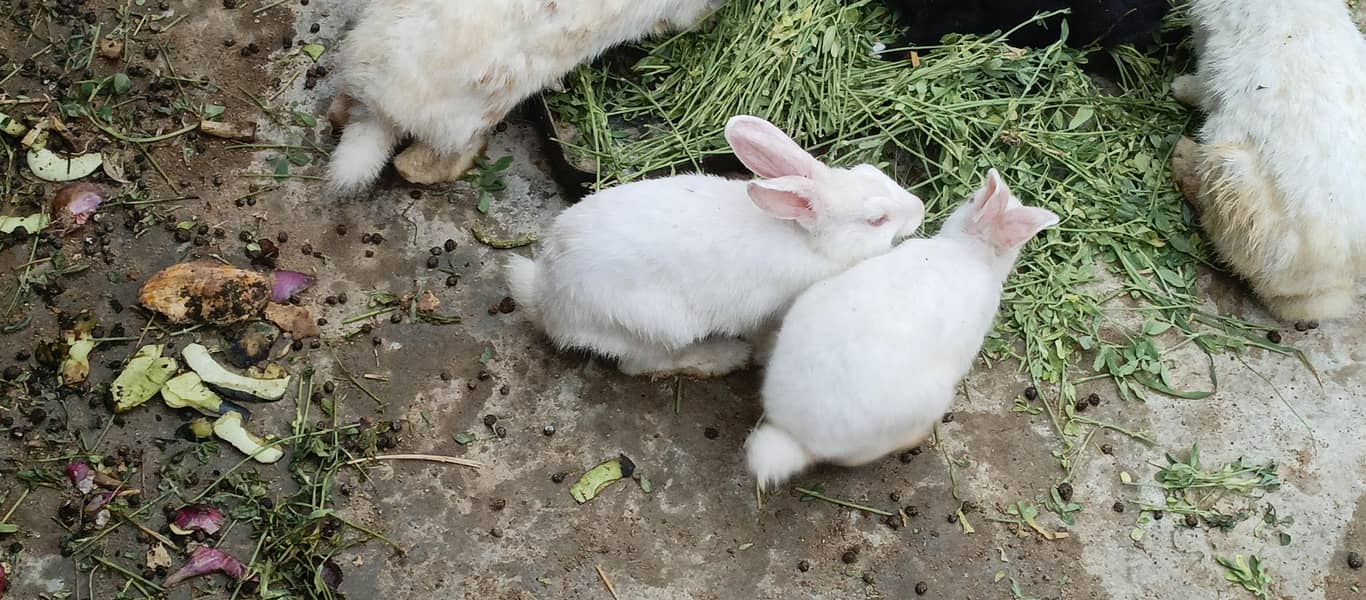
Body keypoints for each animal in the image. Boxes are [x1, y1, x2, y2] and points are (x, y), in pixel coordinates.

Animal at [505, 115, 926, 378]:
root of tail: (547, 302)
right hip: (656, 324)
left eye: (872, 172)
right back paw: (723, 358)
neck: (808, 241)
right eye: (877, 220)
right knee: (641, 365)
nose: (920, 209)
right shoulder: (772, 310)